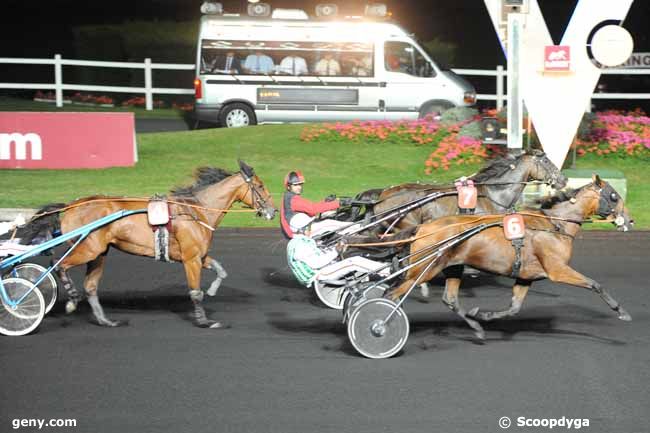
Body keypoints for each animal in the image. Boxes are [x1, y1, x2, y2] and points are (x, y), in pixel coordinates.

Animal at [23, 161, 274, 328]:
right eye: (260, 186)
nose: (272, 211)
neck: (196, 211)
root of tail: (70, 206)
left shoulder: (199, 256)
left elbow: (221, 270)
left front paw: (213, 290)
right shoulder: (190, 259)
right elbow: (195, 292)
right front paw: (204, 320)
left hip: (99, 253)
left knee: (91, 286)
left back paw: (106, 320)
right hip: (88, 249)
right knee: (59, 264)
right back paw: (71, 300)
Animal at [388, 174, 632, 340]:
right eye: (614, 196)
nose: (629, 220)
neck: (554, 225)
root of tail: (422, 228)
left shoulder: (526, 275)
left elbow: (514, 308)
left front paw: (483, 315)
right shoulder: (558, 270)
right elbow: (595, 284)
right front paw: (621, 311)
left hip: (452, 266)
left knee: (449, 299)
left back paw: (476, 328)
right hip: (425, 270)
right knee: (393, 294)